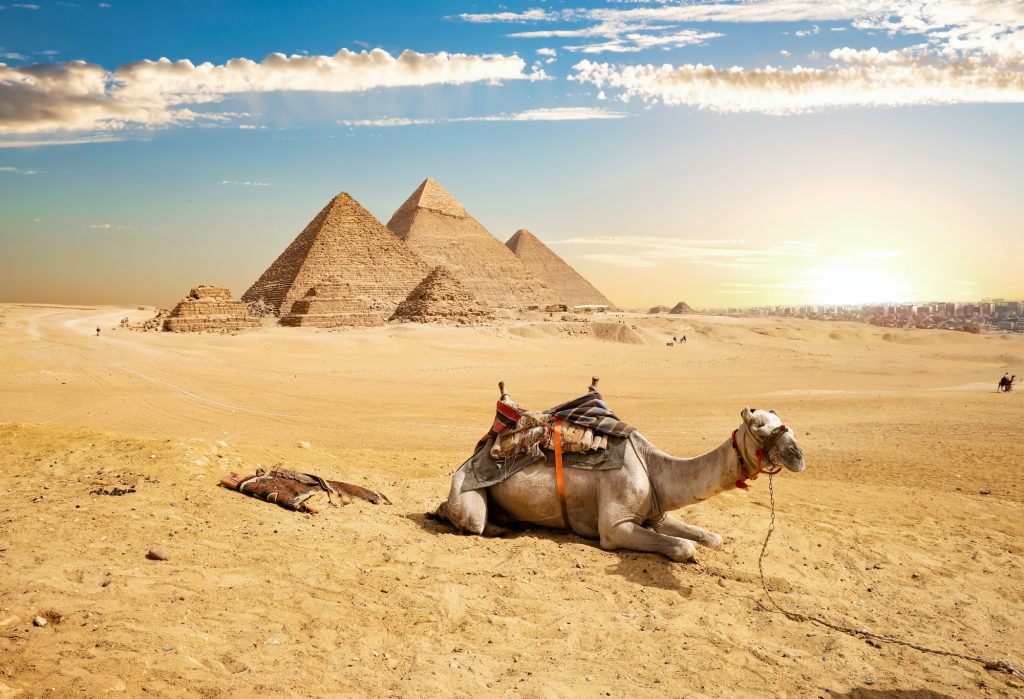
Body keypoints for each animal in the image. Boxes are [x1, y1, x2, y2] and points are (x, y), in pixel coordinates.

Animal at [433, 406, 805, 561]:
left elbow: (713, 538)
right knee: (470, 519)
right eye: (758, 427)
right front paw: (686, 553)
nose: (797, 455)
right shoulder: (615, 527)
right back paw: (495, 527)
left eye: (785, 422)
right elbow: (685, 547)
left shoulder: (657, 513)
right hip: (466, 489)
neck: (654, 467)